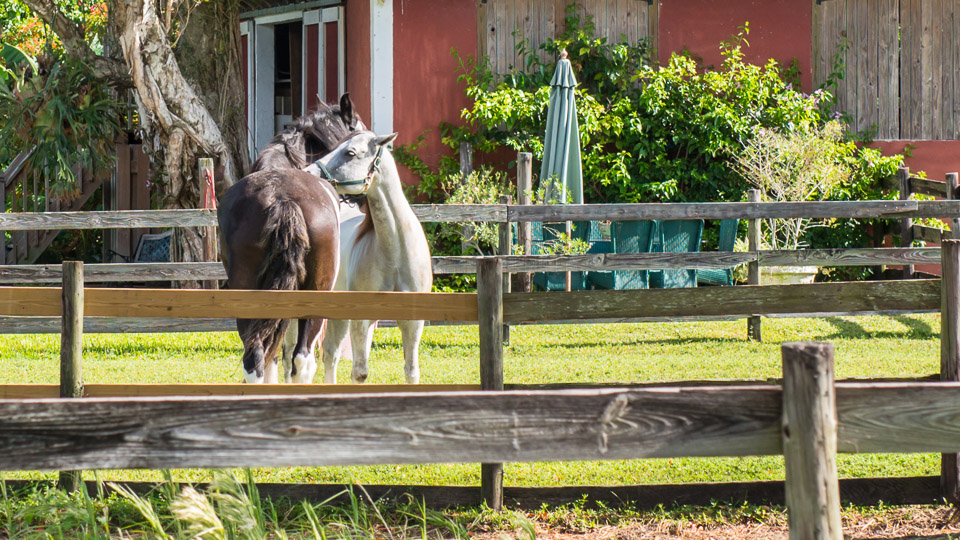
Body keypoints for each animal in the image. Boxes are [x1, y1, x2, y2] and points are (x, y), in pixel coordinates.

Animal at [306, 131, 434, 384]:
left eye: (350, 152)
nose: (307, 173)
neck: (395, 255)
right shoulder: (361, 319)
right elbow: (360, 373)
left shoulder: (413, 322)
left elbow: (411, 371)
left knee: (331, 354)